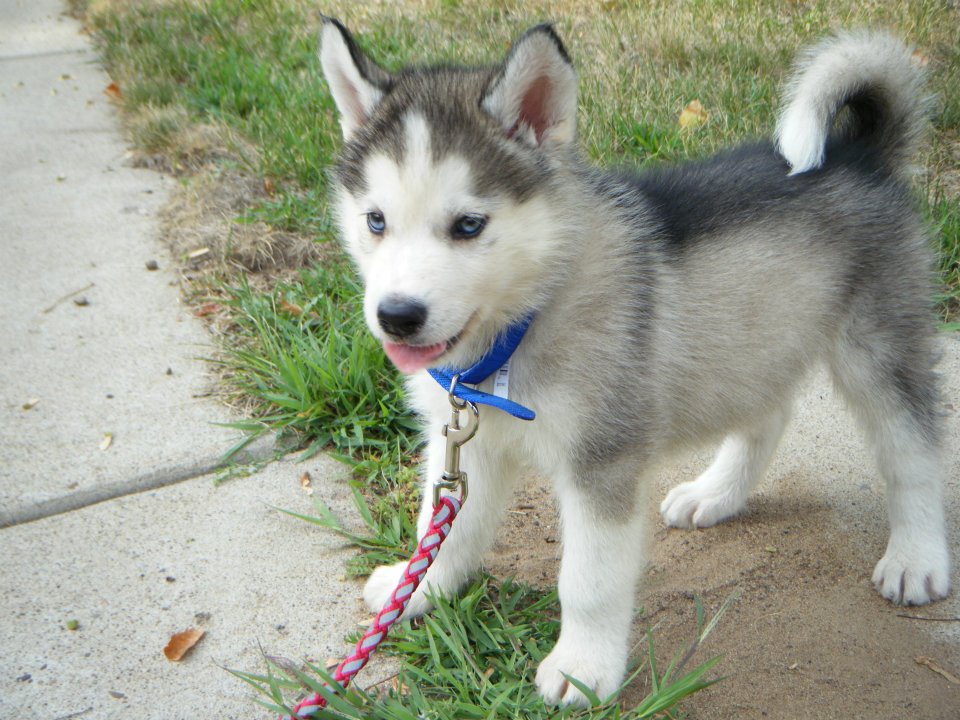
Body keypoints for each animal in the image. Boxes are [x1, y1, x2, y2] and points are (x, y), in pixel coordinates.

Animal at [318, 19, 948, 704]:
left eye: (467, 225)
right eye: (375, 220)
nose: (397, 315)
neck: (519, 327)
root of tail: (860, 153)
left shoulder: (602, 459)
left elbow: (588, 581)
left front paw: (582, 668)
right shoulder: (462, 437)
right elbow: (444, 526)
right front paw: (416, 589)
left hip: (877, 346)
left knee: (913, 452)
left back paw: (916, 558)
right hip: (751, 339)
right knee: (769, 413)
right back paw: (714, 494)